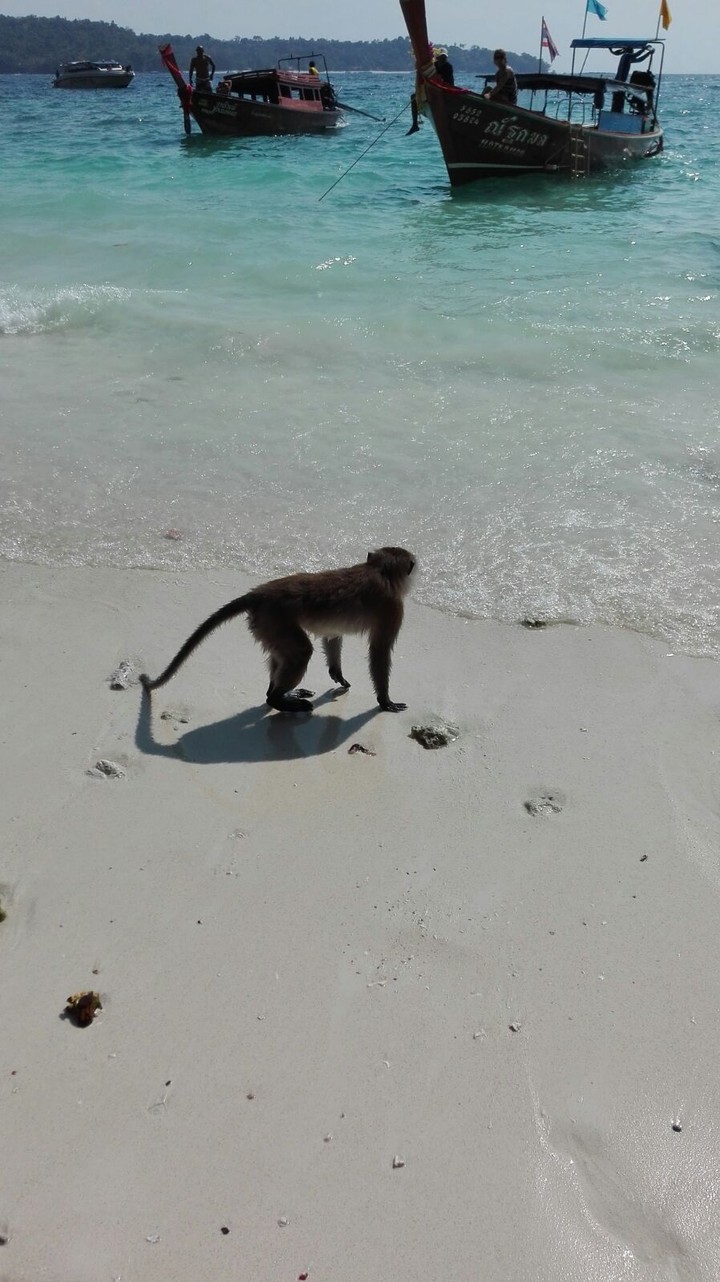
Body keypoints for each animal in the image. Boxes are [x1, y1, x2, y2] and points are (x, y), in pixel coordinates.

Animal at [139, 546, 416, 714]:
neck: (379, 571)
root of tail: (259, 594)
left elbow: (332, 635)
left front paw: (337, 673)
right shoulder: (393, 608)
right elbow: (379, 651)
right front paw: (385, 701)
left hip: (266, 624)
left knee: (282, 656)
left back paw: (278, 694)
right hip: (274, 619)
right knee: (301, 652)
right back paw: (277, 699)